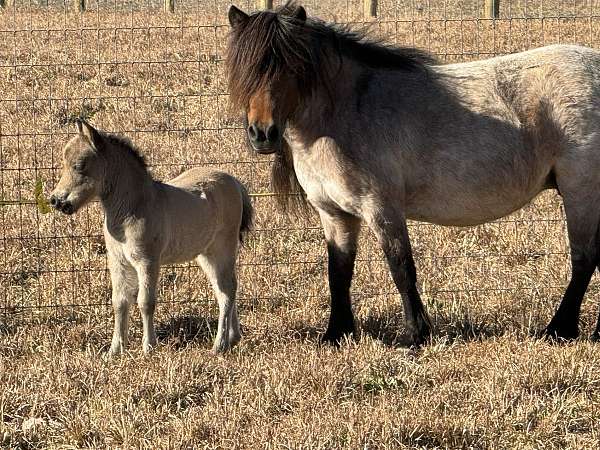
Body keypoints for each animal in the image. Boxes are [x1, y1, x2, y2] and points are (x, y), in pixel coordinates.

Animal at [48, 119, 251, 356]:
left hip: (223, 249)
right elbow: (119, 302)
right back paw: (233, 337)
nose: (56, 201)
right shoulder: (118, 262)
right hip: (205, 255)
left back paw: (219, 345)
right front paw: (115, 351)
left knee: (227, 289)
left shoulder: (148, 262)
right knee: (223, 290)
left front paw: (148, 347)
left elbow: (146, 302)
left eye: (80, 165)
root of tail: (234, 181)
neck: (131, 209)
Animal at [226, 1, 600, 346]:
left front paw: (415, 334)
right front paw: (336, 334)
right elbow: (339, 272)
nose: (262, 134)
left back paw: (559, 329)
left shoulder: (382, 208)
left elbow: (401, 267)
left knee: (584, 258)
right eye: (244, 69)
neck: (346, 114)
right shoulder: (333, 213)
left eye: (291, 67)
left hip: (581, 191)